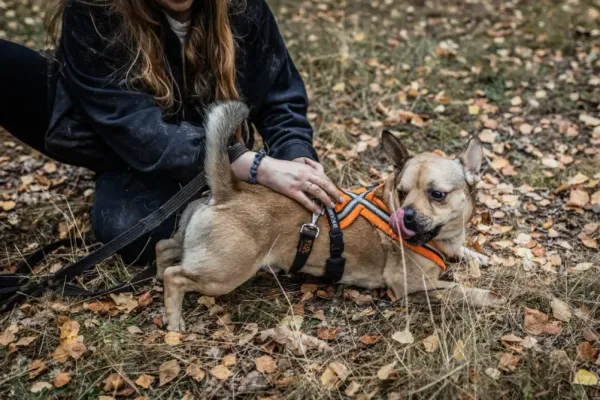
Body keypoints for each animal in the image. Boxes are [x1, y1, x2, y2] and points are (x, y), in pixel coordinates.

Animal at [157, 102, 504, 332]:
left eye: (437, 195)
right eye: (402, 193)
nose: (404, 217)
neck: (443, 237)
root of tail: (228, 189)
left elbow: (464, 256)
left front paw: (475, 255)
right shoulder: (413, 286)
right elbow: (463, 291)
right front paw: (491, 297)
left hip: (196, 249)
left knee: (165, 248)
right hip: (225, 274)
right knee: (175, 276)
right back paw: (174, 318)